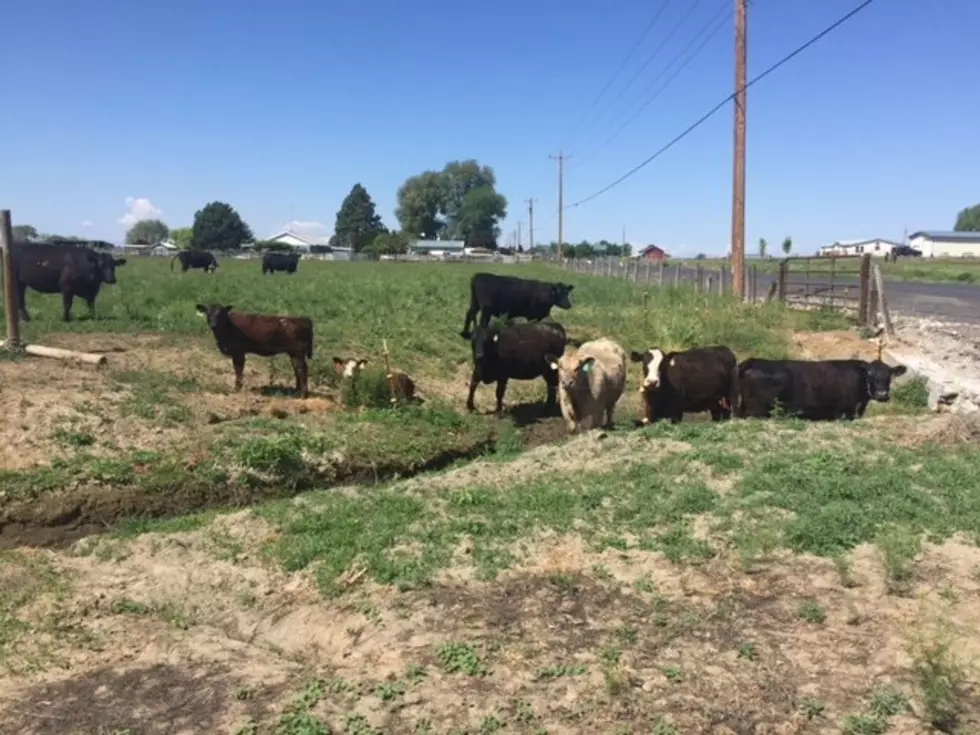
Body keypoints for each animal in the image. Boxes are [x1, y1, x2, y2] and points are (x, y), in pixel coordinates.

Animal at [732, 356, 908, 420]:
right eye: (870, 375)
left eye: (889, 375)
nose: (882, 394)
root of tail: (753, 361)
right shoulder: (842, 413)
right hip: (757, 409)